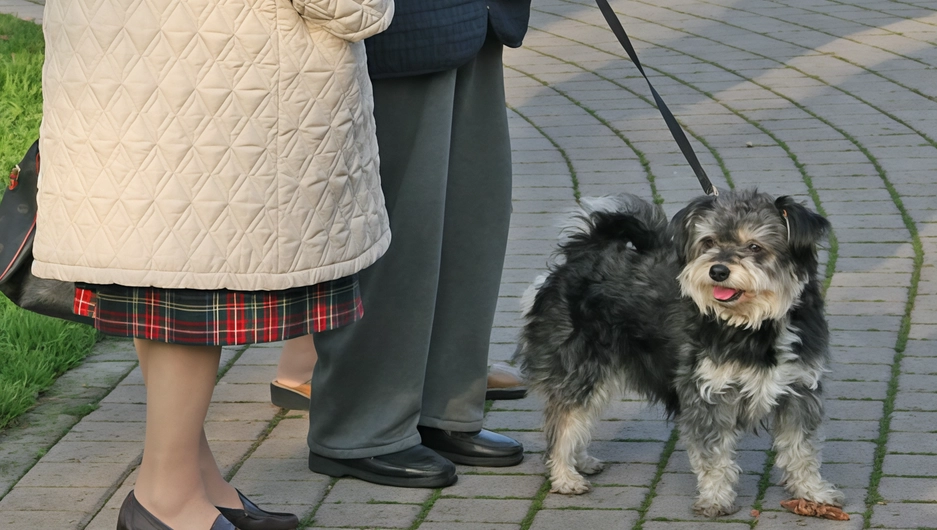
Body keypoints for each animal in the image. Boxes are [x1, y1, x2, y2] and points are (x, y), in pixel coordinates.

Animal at [516, 189, 844, 516]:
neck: (751, 325)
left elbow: (802, 451)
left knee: (575, 419)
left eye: (755, 246)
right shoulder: (707, 395)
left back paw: (580, 461)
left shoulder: (799, 392)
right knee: (563, 423)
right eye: (709, 242)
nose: (718, 270)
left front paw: (813, 493)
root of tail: (583, 253)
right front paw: (716, 498)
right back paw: (564, 475)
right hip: (581, 371)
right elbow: (714, 457)